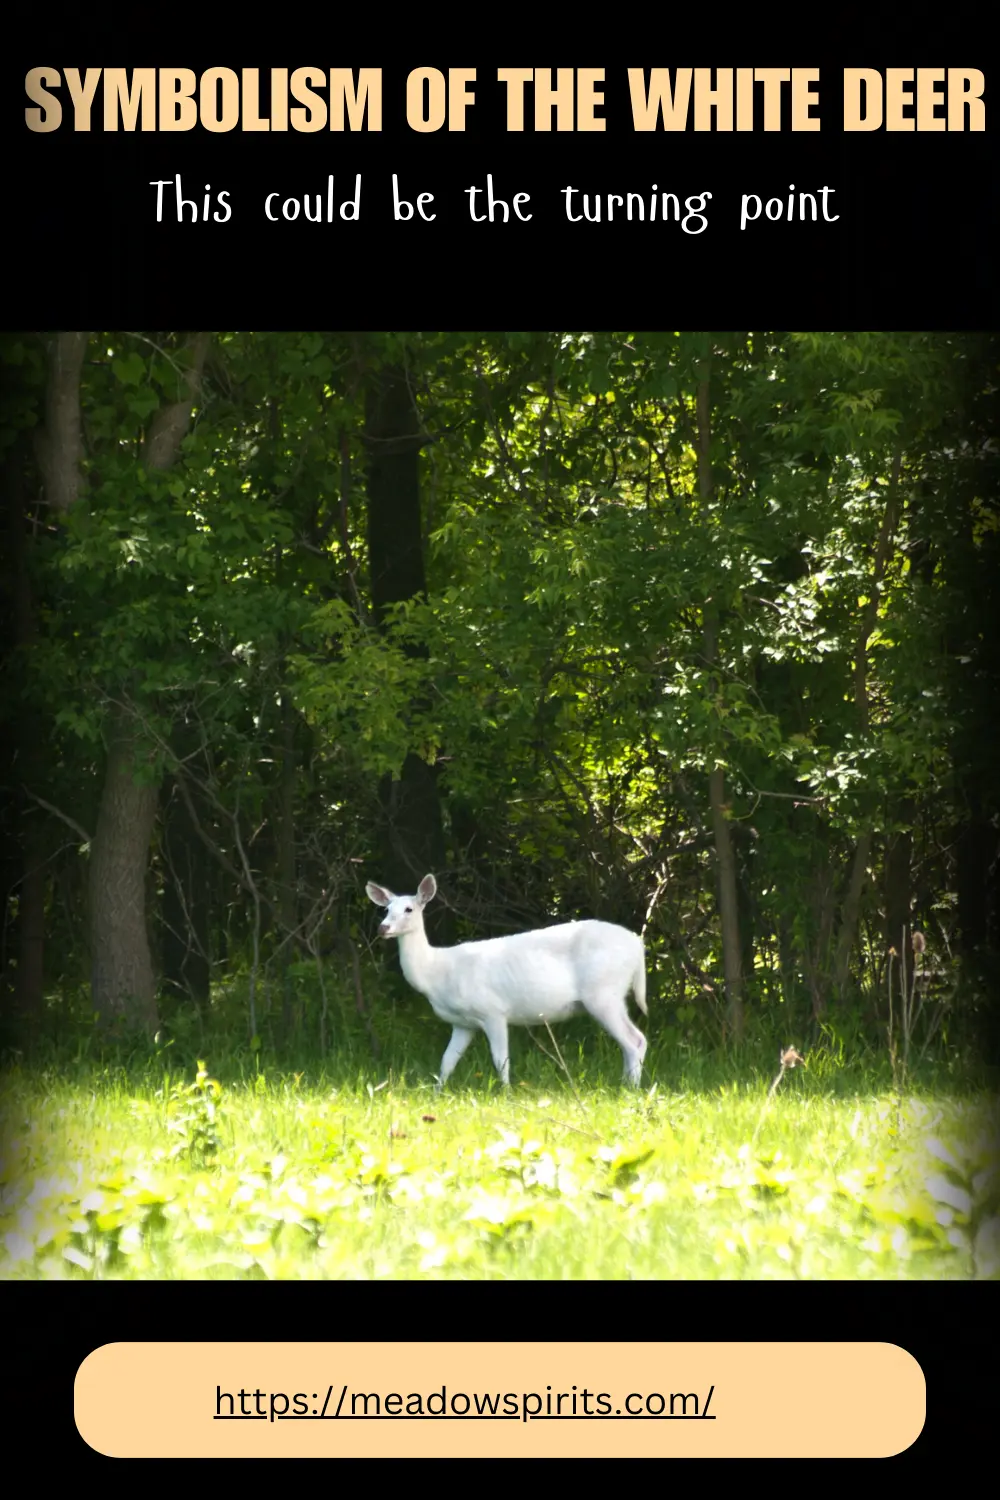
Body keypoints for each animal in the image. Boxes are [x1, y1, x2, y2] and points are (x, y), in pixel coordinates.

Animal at [367, 876, 650, 1092]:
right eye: (386, 909)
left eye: (409, 909)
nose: (382, 928)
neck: (437, 973)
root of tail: (637, 946)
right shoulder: (462, 1023)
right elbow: (447, 1061)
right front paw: (437, 1093)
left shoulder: (493, 1011)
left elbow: (501, 1059)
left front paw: (506, 1093)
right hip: (609, 993)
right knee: (633, 1042)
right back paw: (626, 1085)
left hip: (603, 992)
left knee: (635, 1040)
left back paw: (630, 1089)